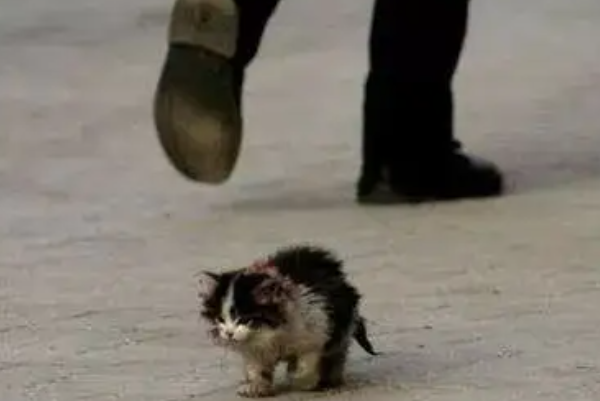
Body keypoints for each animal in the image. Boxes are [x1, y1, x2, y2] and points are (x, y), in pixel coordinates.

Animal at [197, 244, 378, 398]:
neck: (271, 331)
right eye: (220, 319)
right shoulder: (255, 347)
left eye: (243, 319)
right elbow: (256, 365)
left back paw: (331, 378)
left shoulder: (317, 328)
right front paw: (257, 386)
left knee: (337, 351)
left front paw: (302, 380)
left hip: (340, 321)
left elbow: (307, 363)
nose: (229, 333)